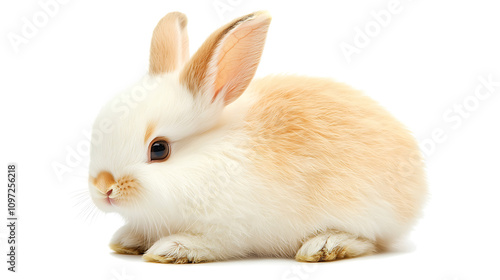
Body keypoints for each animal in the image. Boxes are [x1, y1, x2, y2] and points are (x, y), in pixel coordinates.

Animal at [89, 10, 426, 264]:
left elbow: (212, 244)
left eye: (159, 149)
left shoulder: (227, 229)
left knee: (370, 241)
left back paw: (324, 245)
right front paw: (126, 240)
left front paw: (171, 250)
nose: (104, 187)